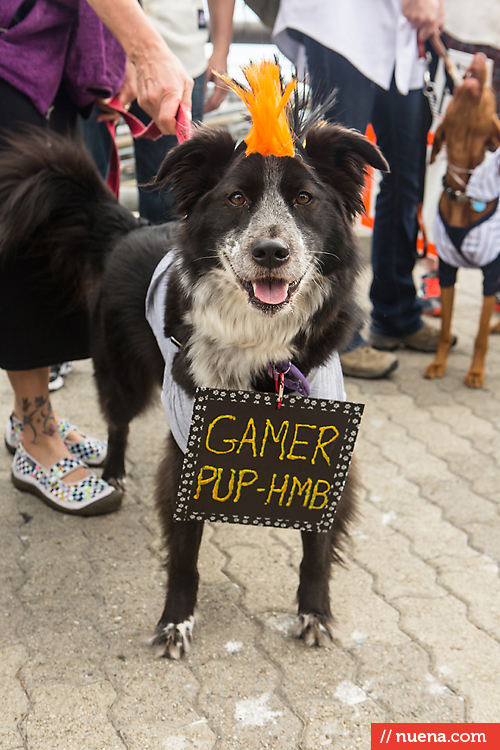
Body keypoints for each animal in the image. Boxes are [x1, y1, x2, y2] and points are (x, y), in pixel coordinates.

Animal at [0, 113, 386, 656]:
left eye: (305, 198)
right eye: (237, 198)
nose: (271, 252)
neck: (261, 345)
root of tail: (130, 227)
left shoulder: (324, 445)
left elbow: (317, 547)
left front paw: (314, 612)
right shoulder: (188, 445)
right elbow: (184, 553)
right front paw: (175, 621)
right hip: (118, 372)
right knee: (117, 421)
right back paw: (112, 472)